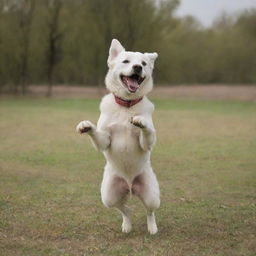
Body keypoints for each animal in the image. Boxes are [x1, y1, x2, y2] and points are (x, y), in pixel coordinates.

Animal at [76, 39, 160, 234]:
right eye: (126, 61)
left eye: (144, 64)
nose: (137, 67)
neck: (126, 105)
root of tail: (130, 186)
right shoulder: (105, 139)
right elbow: (97, 134)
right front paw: (86, 126)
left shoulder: (146, 142)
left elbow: (147, 131)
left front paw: (140, 121)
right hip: (109, 196)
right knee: (125, 209)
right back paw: (127, 224)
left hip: (152, 196)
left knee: (149, 211)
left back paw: (152, 228)